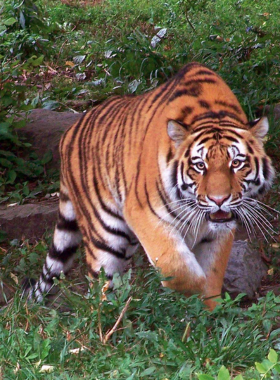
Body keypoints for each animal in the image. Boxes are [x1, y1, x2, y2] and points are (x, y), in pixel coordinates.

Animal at [24, 62, 274, 310]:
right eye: (200, 165)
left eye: (236, 163)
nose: (219, 200)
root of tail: (68, 134)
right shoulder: (144, 213)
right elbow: (177, 268)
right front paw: (193, 297)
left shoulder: (218, 233)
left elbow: (213, 272)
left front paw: (209, 310)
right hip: (105, 235)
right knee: (100, 289)